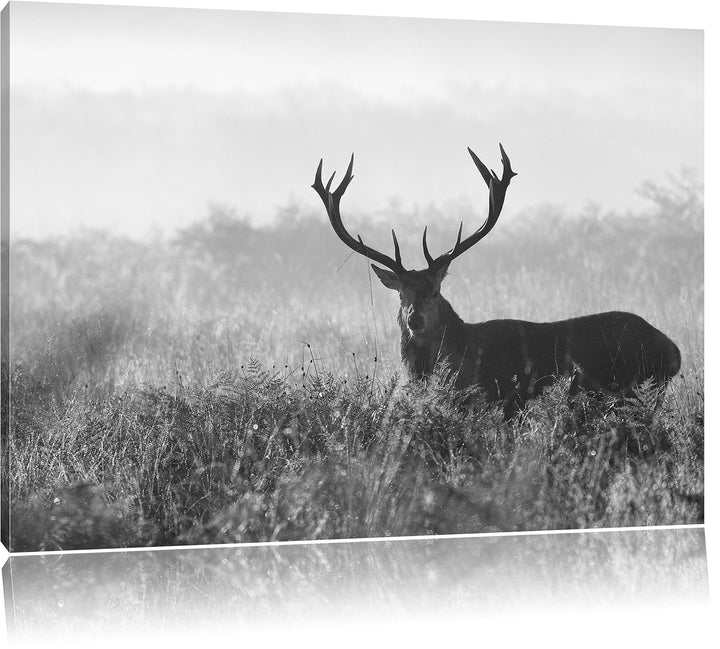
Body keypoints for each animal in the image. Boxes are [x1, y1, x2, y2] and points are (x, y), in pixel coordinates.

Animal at [312, 144, 681, 418]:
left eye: (435, 291)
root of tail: (674, 352)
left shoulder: (499, 400)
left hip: (624, 386)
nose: (414, 319)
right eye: (401, 295)